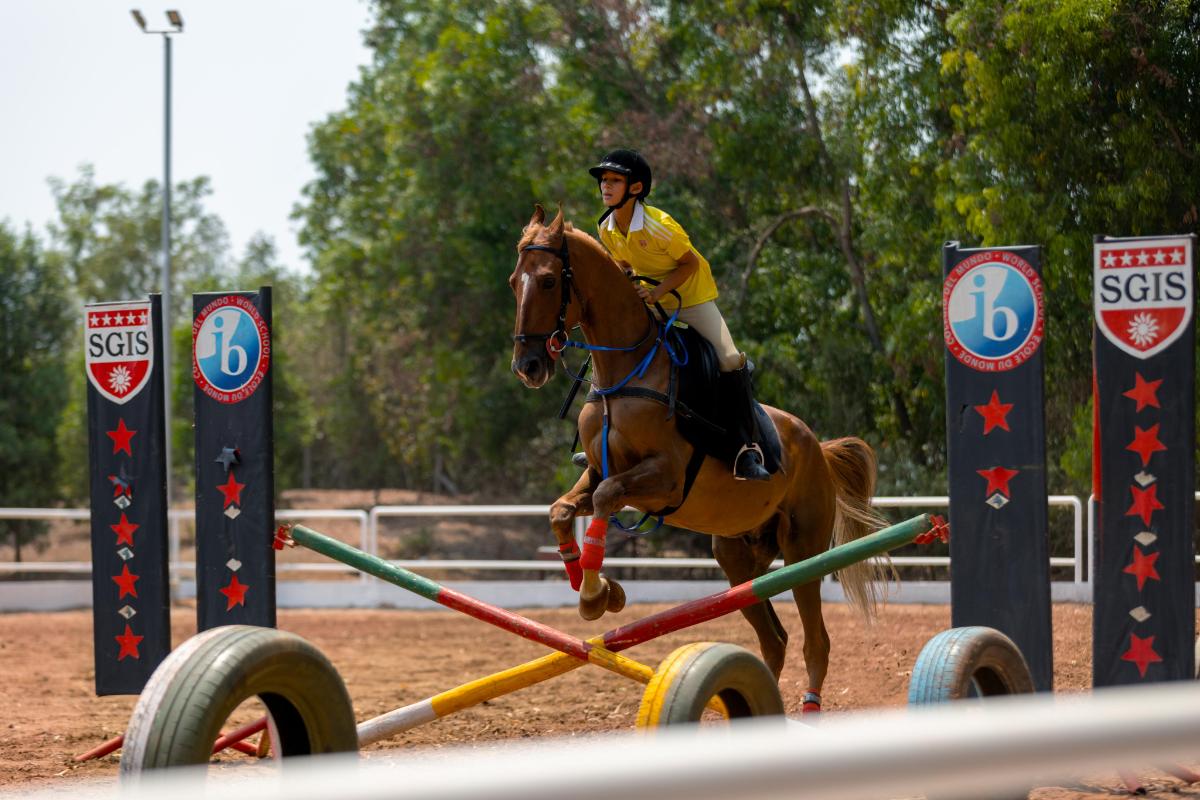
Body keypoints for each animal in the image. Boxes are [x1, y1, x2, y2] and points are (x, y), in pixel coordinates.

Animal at [508, 205, 889, 710]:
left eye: (550, 281)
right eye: (514, 282)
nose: (528, 367)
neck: (625, 371)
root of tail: (818, 449)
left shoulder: (664, 478)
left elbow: (607, 498)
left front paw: (596, 595)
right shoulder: (596, 471)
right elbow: (561, 511)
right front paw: (599, 590)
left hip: (803, 547)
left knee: (816, 641)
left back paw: (808, 705)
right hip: (737, 557)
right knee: (774, 640)